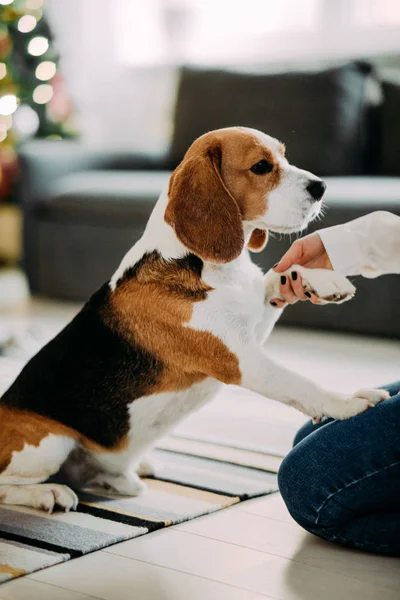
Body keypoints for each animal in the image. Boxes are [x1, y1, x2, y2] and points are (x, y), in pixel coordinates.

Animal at [0, 126, 388, 510]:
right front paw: (347, 402)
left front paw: (321, 280)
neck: (205, 265)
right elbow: (299, 382)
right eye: (262, 167)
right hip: (49, 444)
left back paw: (124, 476)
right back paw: (48, 493)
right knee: (10, 486)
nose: (321, 187)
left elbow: (278, 276)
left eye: (284, 155)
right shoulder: (240, 359)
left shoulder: (254, 319)